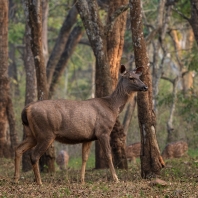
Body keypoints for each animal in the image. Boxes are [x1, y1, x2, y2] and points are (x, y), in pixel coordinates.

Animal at [13, 65, 147, 184]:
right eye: (131, 77)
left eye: (139, 76)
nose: (145, 86)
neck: (112, 107)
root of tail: (26, 109)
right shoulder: (103, 131)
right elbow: (109, 155)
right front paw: (116, 178)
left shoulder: (88, 137)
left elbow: (85, 157)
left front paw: (81, 179)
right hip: (46, 133)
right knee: (34, 155)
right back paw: (39, 181)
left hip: (32, 133)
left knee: (18, 148)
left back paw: (16, 179)